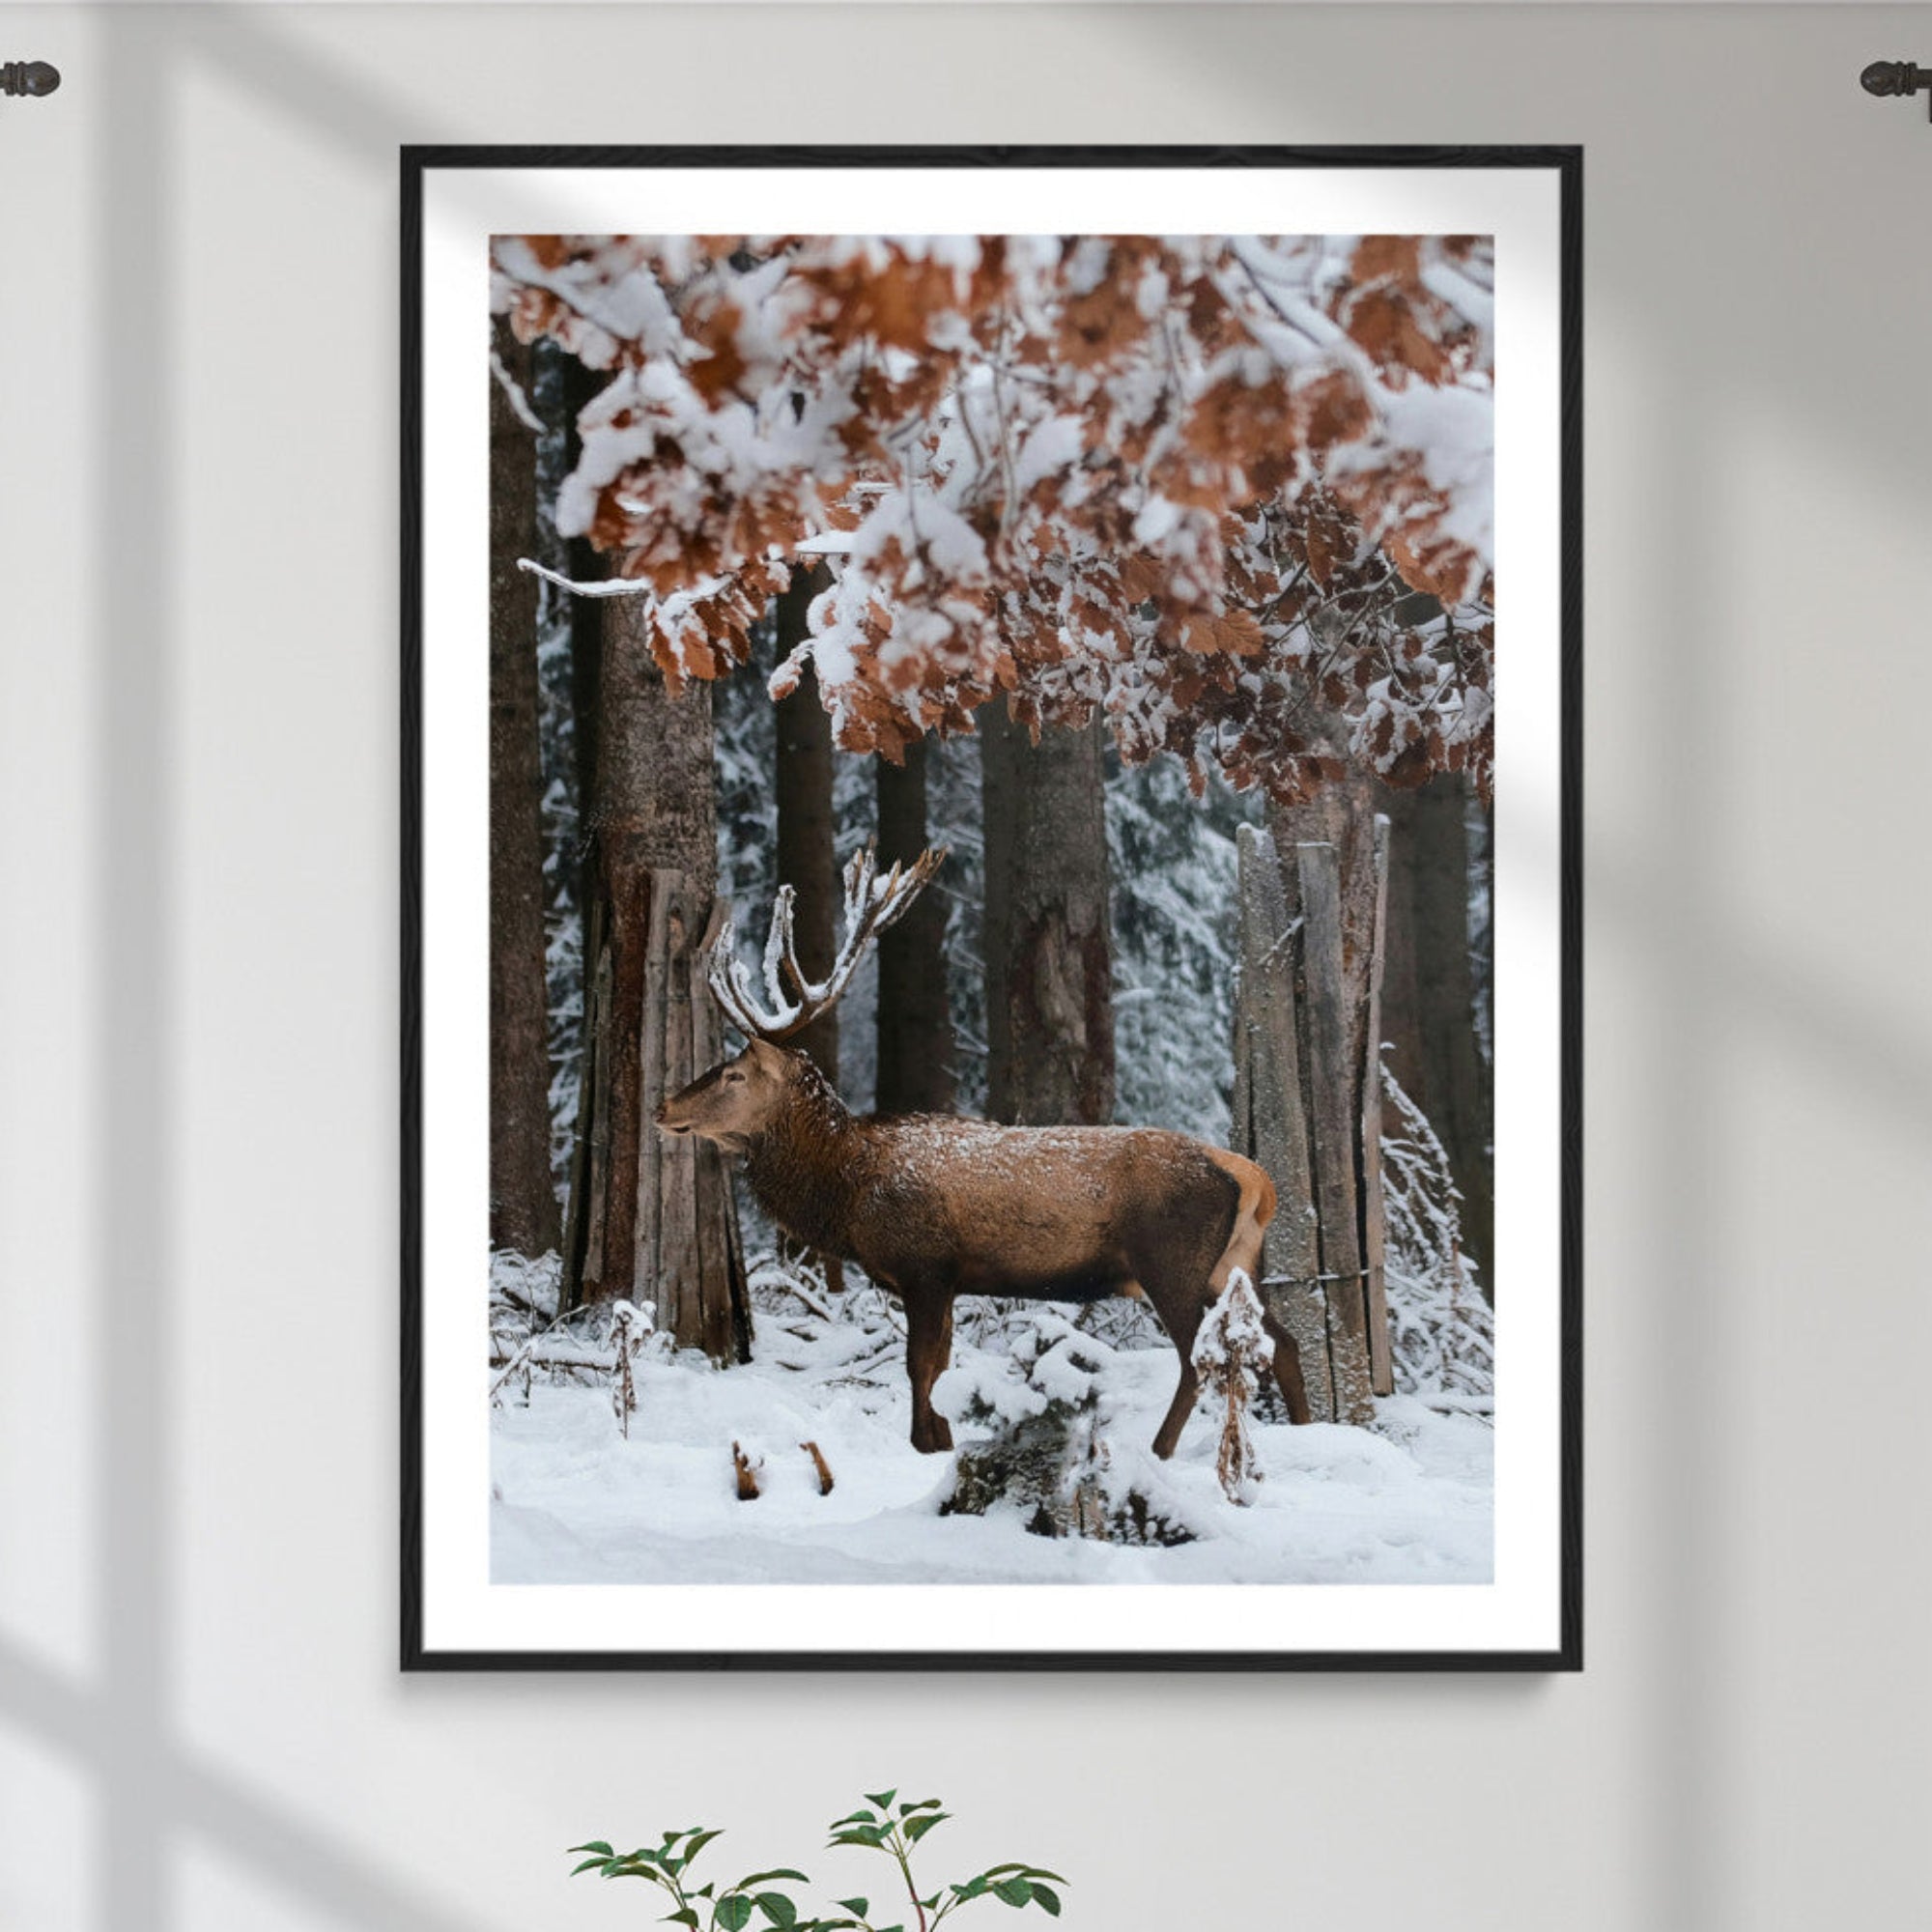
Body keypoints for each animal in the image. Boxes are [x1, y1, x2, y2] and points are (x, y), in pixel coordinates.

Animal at [654, 844, 1311, 1459]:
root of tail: (1252, 1179)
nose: (663, 1108)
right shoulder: (947, 1278)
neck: (848, 1191)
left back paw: (1159, 1450)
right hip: (1231, 1264)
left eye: (734, 1074)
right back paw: (1310, 1432)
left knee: (1198, 1358)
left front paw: (925, 1445)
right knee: (1283, 1341)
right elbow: (940, 1366)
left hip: (1171, 1261)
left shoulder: (925, 1264)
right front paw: (944, 1440)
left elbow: (920, 1368)